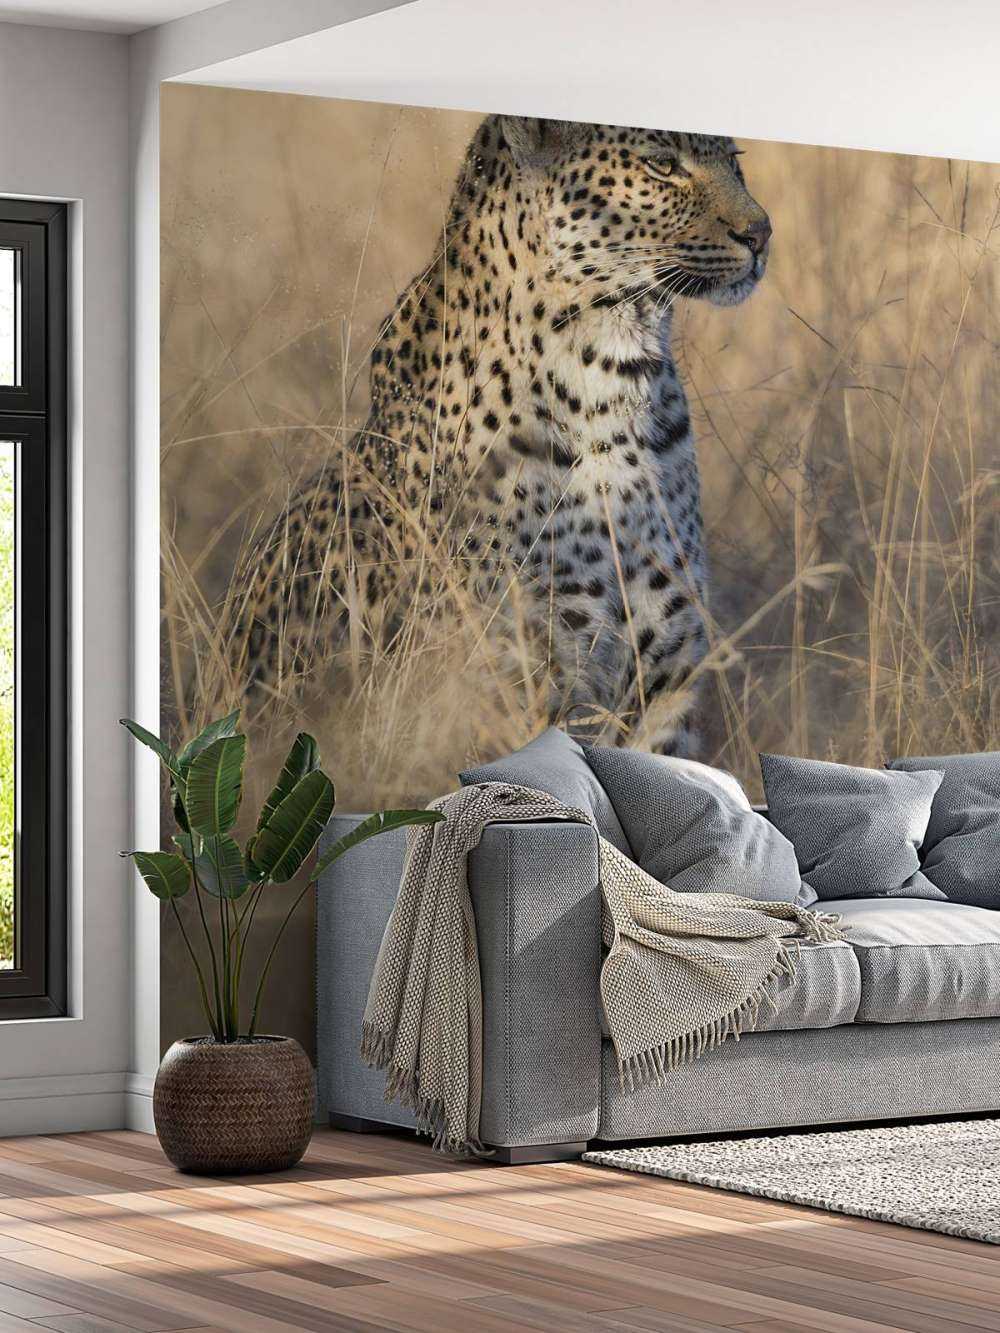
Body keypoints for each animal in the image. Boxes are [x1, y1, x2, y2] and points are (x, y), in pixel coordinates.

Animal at [234, 114, 770, 754]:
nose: (761, 233)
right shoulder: (516, 675)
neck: (614, 377)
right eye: (661, 165)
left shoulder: (669, 676)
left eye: (734, 158)